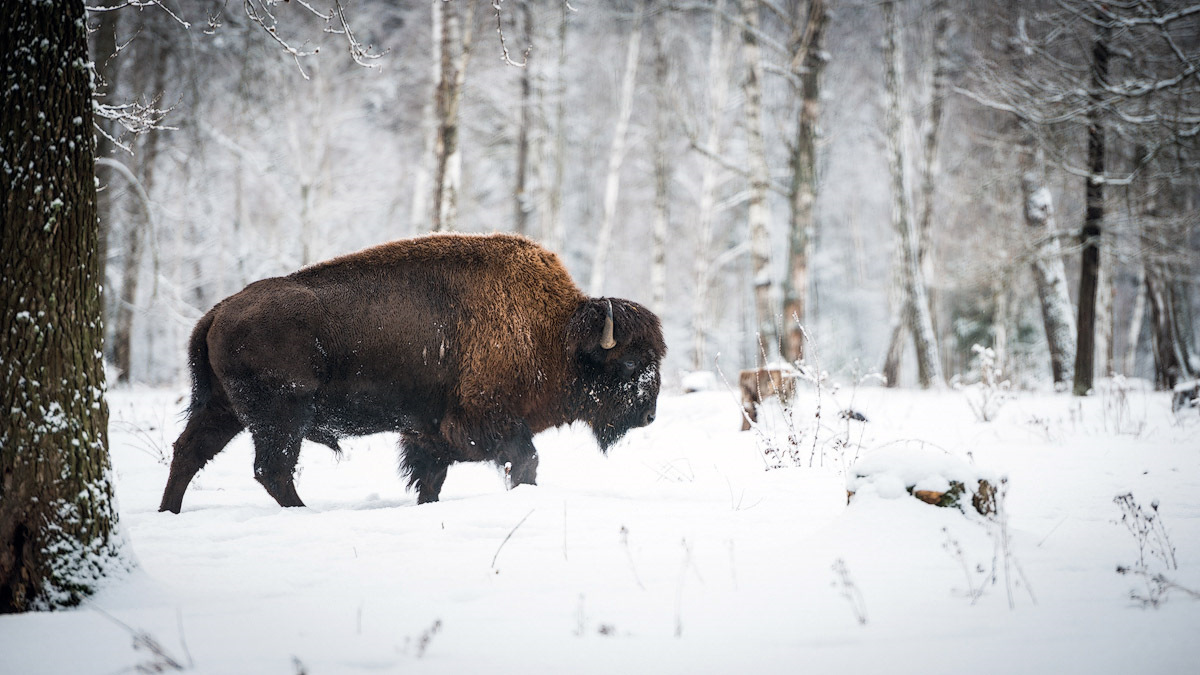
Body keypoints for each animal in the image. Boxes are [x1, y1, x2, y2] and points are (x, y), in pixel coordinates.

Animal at [157, 230, 667, 509]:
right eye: (630, 362)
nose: (648, 416)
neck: (554, 332)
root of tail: (217, 312)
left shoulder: (430, 434)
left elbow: (430, 479)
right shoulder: (490, 422)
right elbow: (525, 463)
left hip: (223, 409)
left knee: (189, 453)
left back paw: (169, 513)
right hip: (280, 418)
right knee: (272, 470)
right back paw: (303, 512)